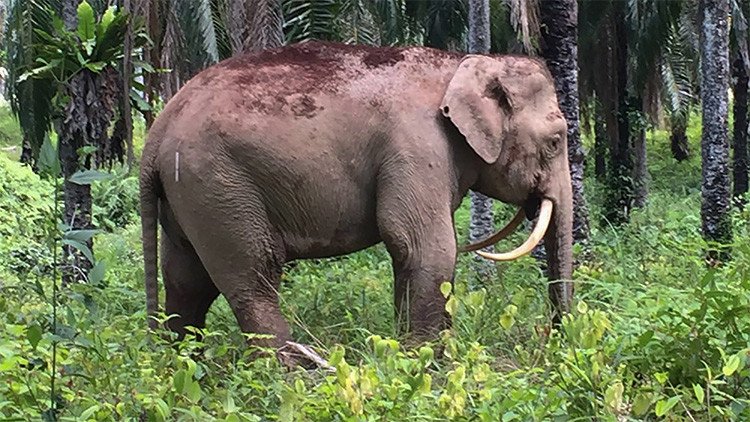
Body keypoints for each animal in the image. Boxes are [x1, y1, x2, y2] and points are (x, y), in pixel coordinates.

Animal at [140, 41, 573, 360]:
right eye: (556, 140)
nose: (555, 343)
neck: (466, 62)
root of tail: (158, 130)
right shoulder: (417, 146)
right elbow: (423, 247)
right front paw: (425, 365)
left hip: (189, 193)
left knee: (186, 281)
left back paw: (185, 369)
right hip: (219, 183)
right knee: (254, 276)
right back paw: (293, 373)